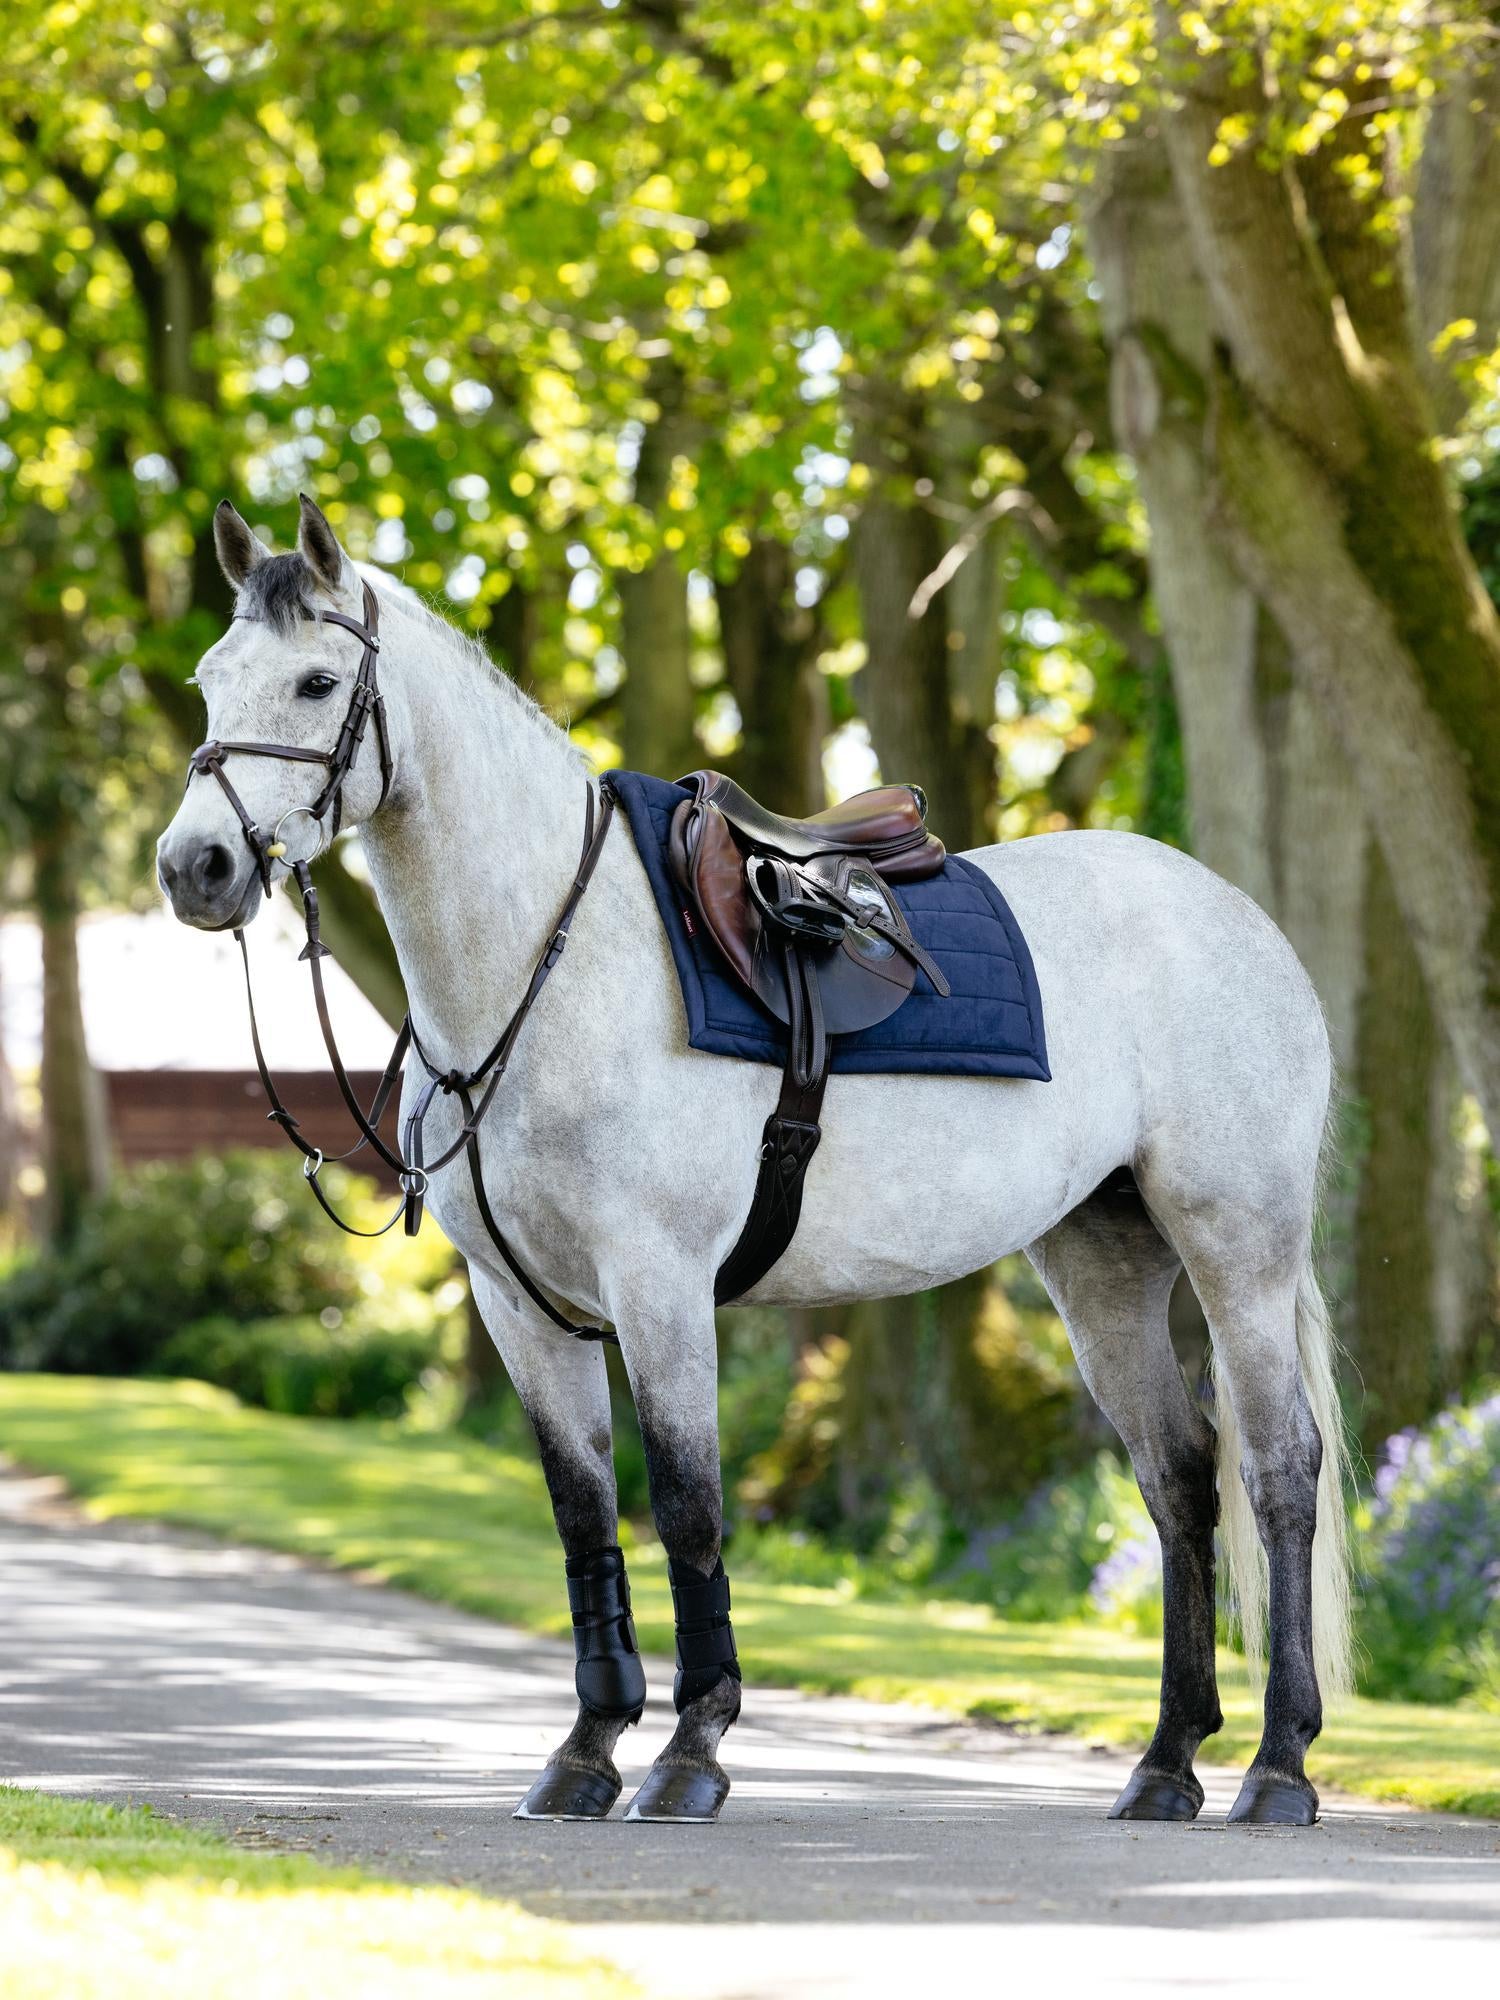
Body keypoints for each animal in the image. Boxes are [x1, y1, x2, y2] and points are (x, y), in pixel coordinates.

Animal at [156, 494, 1352, 1827]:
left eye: (318, 681)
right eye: (210, 680)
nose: (196, 867)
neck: (552, 960)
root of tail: (1241, 923)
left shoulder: (660, 1287)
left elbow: (688, 1506)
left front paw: (691, 1750)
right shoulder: (521, 1305)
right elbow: (585, 1514)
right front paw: (584, 1751)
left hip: (1237, 1248)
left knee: (1279, 1468)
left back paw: (1278, 1765)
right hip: (1103, 1261)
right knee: (1182, 1476)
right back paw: (1165, 1763)